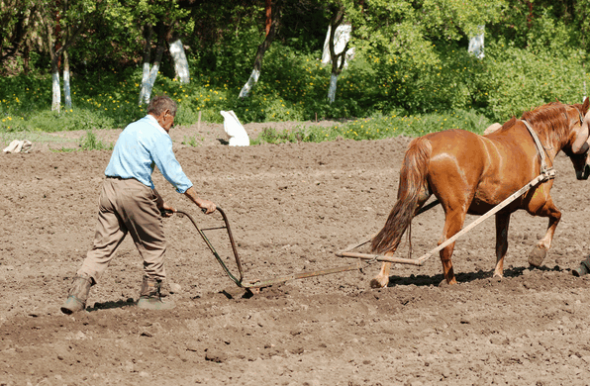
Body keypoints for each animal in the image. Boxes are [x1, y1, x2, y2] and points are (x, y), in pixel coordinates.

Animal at [372, 99, 588, 286]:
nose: (585, 171)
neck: (538, 142)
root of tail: (425, 142)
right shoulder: (537, 202)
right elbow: (557, 216)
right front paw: (538, 253)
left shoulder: (503, 210)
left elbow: (502, 244)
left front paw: (498, 275)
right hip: (456, 209)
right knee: (445, 245)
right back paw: (451, 283)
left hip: (414, 200)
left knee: (394, 236)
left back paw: (381, 278)